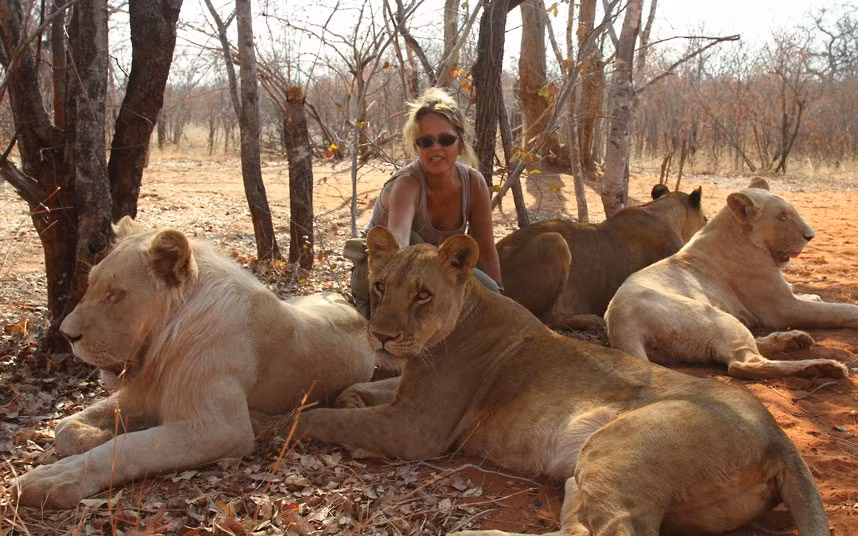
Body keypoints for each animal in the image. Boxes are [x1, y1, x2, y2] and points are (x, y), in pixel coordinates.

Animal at [11, 217, 375, 508]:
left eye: (115, 294)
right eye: (90, 286)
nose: (66, 334)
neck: (163, 345)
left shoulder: (221, 428)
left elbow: (127, 447)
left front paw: (53, 479)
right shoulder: (146, 394)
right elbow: (64, 426)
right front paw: (95, 436)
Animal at [289, 226, 829, 536]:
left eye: (422, 295)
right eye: (380, 286)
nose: (380, 337)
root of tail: (777, 434)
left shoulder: (416, 428)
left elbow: (319, 418)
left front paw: (288, 427)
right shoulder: (408, 394)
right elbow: (355, 394)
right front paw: (352, 397)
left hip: (620, 448)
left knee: (611, 533)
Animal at [606, 187, 853, 379]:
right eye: (782, 217)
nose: (810, 236)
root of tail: (621, 324)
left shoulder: (787, 298)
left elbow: (814, 298)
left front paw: (816, 296)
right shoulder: (783, 309)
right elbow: (840, 310)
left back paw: (793, 340)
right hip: (715, 316)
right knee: (743, 364)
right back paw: (824, 367)